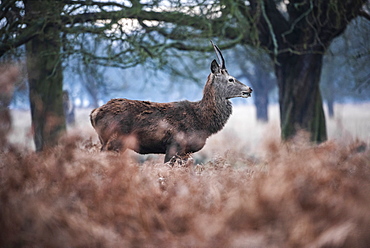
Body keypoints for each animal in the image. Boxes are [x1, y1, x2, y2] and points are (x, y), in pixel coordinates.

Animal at [90, 42, 251, 163]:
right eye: (231, 79)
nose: (249, 89)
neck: (202, 122)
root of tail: (93, 113)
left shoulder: (185, 152)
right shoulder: (175, 145)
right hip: (113, 141)